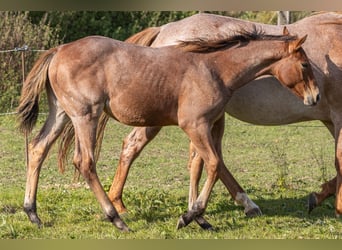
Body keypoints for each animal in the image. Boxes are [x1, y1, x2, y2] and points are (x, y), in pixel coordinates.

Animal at [17, 26, 320, 231]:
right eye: (305, 64)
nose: (315, 97)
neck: (214, 69)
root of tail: (58, 50)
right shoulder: (195, 125)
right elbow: (212, 165)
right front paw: (189, 216)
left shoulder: (205, 125)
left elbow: (199, 166)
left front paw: (200, 218)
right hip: (85, 115)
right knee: (84, 161)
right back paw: (116, 218)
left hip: (61, 113)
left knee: (37, 148)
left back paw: (33, 213)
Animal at [91, 12, 342, 218]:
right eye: (304, 65)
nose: (315, 97)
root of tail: (163, 30)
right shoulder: (338, 116)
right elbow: (339, 159)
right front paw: (336, 206)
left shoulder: (331, 120)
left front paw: (320, 196)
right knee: (134, 145)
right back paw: (118, 203)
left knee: (210, 159)